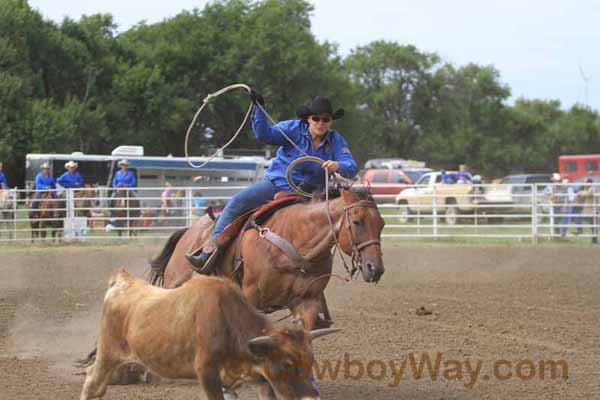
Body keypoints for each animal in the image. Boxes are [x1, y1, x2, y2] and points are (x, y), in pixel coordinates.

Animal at [79, 268, 338, 400]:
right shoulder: (207, 373)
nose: (312, 397)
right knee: (92, 383)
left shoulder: (256, 377)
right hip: (108, 352)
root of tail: (124, 281)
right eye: (286, 363)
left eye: (311, 361)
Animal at [149, 188, 384, 332]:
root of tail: (190, 230)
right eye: (357, 221)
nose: (375, 268)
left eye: (381, 224)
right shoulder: (251, 296)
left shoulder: (307, 301)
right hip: (175, 281)